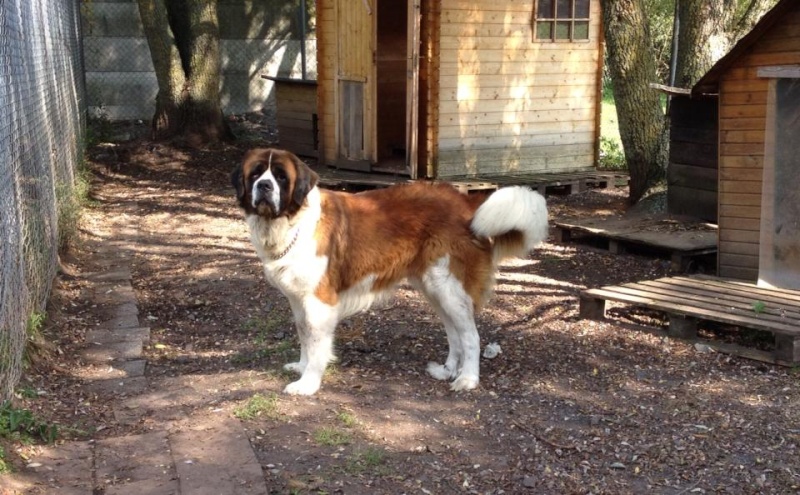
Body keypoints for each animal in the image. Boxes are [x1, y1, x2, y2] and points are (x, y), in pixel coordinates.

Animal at [231, 147, 552, 396]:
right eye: (256, 174)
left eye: (281, 177)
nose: (265, 186)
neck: (290, 222)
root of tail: (467, 205)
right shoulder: (298, 299)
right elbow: (304, 336)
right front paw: (301, 366)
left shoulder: (319, 301)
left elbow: (317, 341)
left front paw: (308, 382)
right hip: (435, 288)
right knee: (454, 333)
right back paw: (448, 369)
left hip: (449, 286)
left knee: (471, 336)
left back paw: (467, 379)